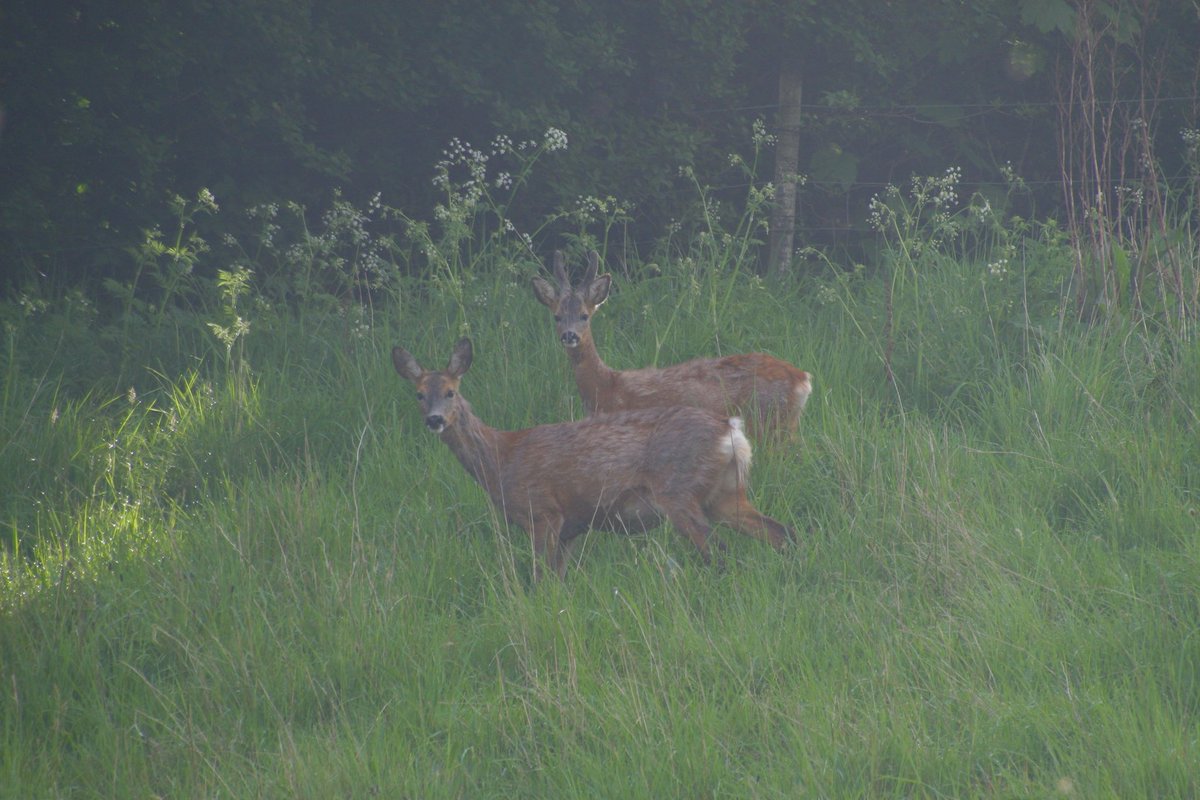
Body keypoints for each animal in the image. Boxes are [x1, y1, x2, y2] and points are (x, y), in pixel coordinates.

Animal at [388, 338, 792, 582]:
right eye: (419, 394)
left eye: (450, 392)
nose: (435, 420)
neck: (500, 458)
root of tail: (732, 431)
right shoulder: (571, 527)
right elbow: (557, 578)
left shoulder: (543, 511)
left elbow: (540, 576)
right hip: (723, 493)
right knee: (778, 531)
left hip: (679, 491)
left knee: (718, 550)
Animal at [535, 250, 816, 438]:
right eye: (557, 316)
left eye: (584, 315)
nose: (569, 335)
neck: (606, 389)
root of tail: (803, 378)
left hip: (770, 420)